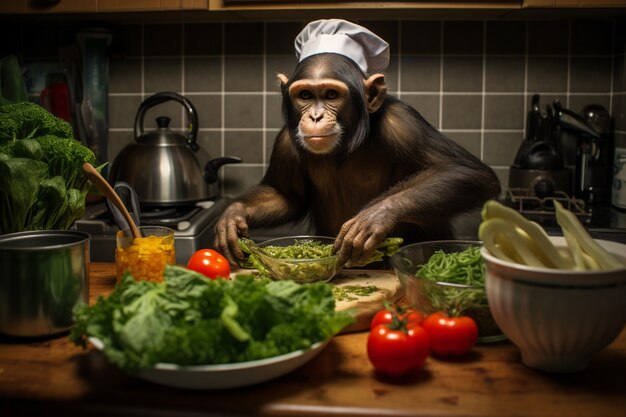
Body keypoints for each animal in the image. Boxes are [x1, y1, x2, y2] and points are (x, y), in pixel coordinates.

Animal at [212, 18, 500, 266]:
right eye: (305, 95)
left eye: (331, 94)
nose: (315, 116)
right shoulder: (285, 141)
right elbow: (286, 195)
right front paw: (233, 215)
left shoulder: (403, 123)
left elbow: (467, 172)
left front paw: (375, 216)